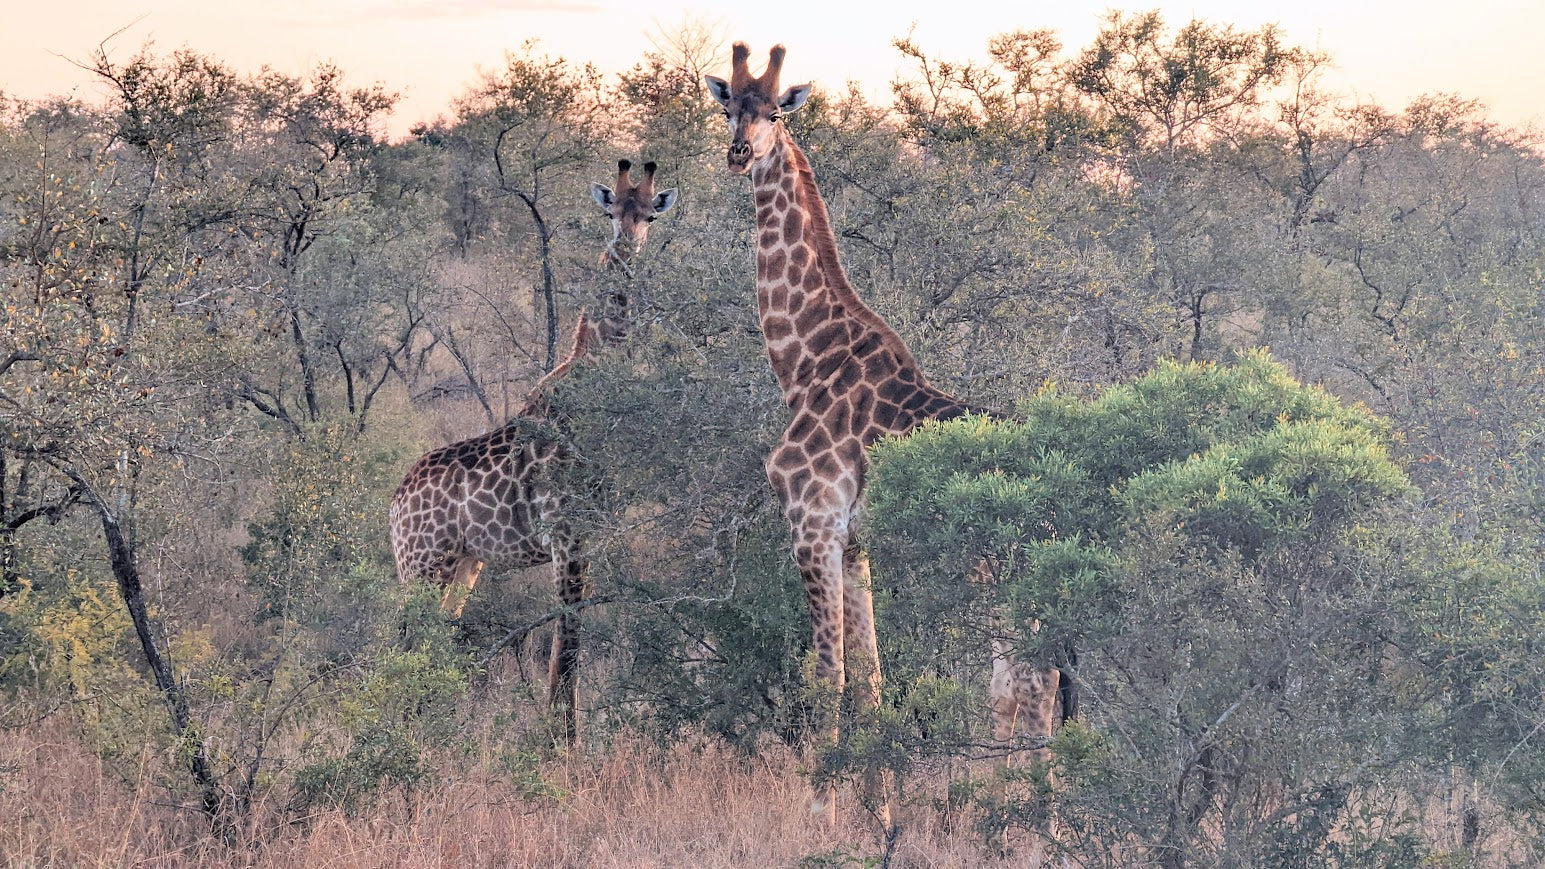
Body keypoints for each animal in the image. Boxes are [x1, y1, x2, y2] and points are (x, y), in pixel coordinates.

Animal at [386, 156, 676, 745]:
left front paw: (565, 735)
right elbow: (566, 641)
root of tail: (394, 505)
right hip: (422, 567)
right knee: (399, 643)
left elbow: (575, 633)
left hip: (462, 567)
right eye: (611, 211)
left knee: (431, 637)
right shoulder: (566, 535)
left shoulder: (591, 535)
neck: (591, 367)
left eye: (649, 216)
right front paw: (562, 742)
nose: (626, 247)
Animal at [707, 45, 1069, 816]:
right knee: (1030, 685)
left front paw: (817, 813)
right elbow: (869, 678)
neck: (803, 359)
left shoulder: (810, 521)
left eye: (775, 111)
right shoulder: (854, 540)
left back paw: (1031, 821)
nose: (739, 152)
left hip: (1004, 583)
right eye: (728, 110)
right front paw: (876, 810)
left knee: (1031, 688)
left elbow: (826, 677)